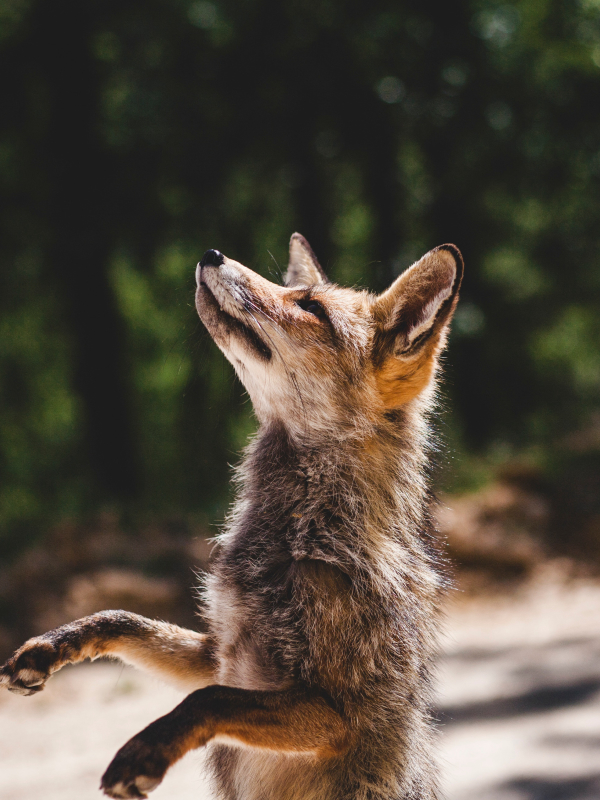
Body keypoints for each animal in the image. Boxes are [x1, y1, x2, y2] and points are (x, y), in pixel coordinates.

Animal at [0, 233, 463, 800]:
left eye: (310, 308)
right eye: (296, 293)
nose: (211, 255)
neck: (301, 540)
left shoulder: (335, 714)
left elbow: (208, 700)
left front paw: (145, 752)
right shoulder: (218, 656)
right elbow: (123, 619)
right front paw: (50, 646)